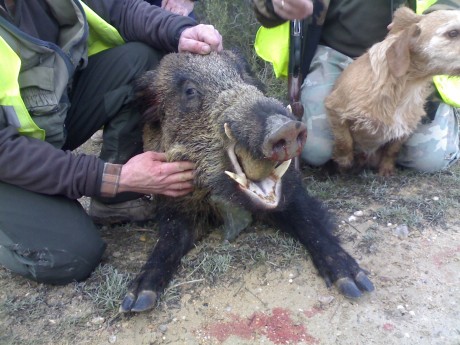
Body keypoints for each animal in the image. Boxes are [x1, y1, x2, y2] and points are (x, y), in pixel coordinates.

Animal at [324, 7, 460, 176]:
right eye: (453, 33)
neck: (406, 87)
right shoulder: (335, 108)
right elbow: (345, 142)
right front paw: (344, 162)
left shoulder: (405, 128)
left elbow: (392, 150)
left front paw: (386, 168)